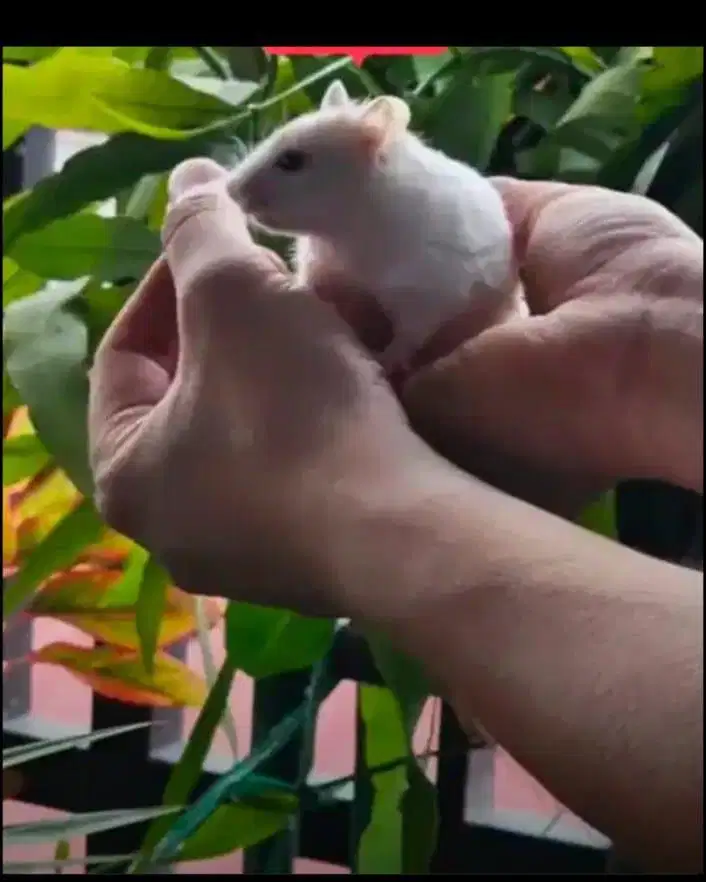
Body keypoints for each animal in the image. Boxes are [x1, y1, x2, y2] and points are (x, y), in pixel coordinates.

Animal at [226, 79, 524, 376]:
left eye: (292, 161)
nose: (230, 190)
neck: (348, 229)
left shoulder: (428, 294)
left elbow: (409, 336)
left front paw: (383, 361)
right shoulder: (319, 263)